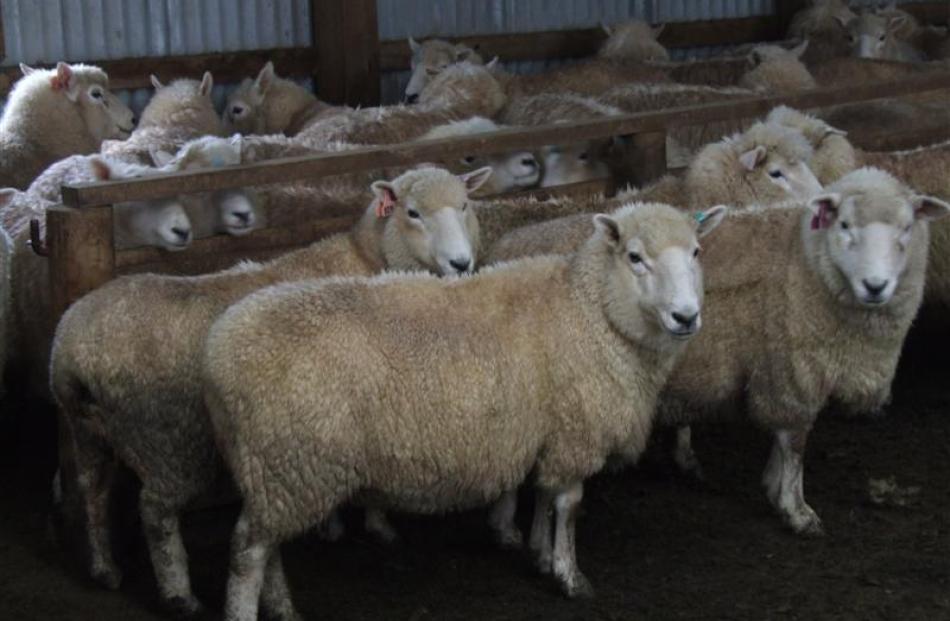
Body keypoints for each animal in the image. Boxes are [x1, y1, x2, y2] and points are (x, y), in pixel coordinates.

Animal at [46, 166, 490, 616]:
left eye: (465, 205)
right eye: (412, 212)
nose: (460, 263)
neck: (368, 256)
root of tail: (72, 349)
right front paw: (372, 523)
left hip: (88, 432)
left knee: (93, 489)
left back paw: (103, 567)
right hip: (165, 438)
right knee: (156, 513)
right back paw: (178, 594)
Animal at [201, 199, 720, 616]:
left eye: (697, 252)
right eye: (635, 257)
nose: (686, 317)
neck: (592, 310)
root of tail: (216, 349)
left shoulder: (547, 428)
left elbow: (543, 496)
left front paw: (537, 552)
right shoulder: (577, 432)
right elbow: (568, 506)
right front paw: (569, 576)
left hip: (271, 472)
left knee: (267, 547)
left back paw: (282, 606)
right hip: (288, 464)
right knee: (247, 552)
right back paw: (245, 610)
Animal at [660, 168, 948, 532]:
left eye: (907, 228)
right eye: (844, 225)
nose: (875, 286)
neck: (803, 258)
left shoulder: (784, 374)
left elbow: (782, 443)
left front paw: (773, 485)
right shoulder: (792, 370)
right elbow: (794, 444)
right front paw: (795, 509)